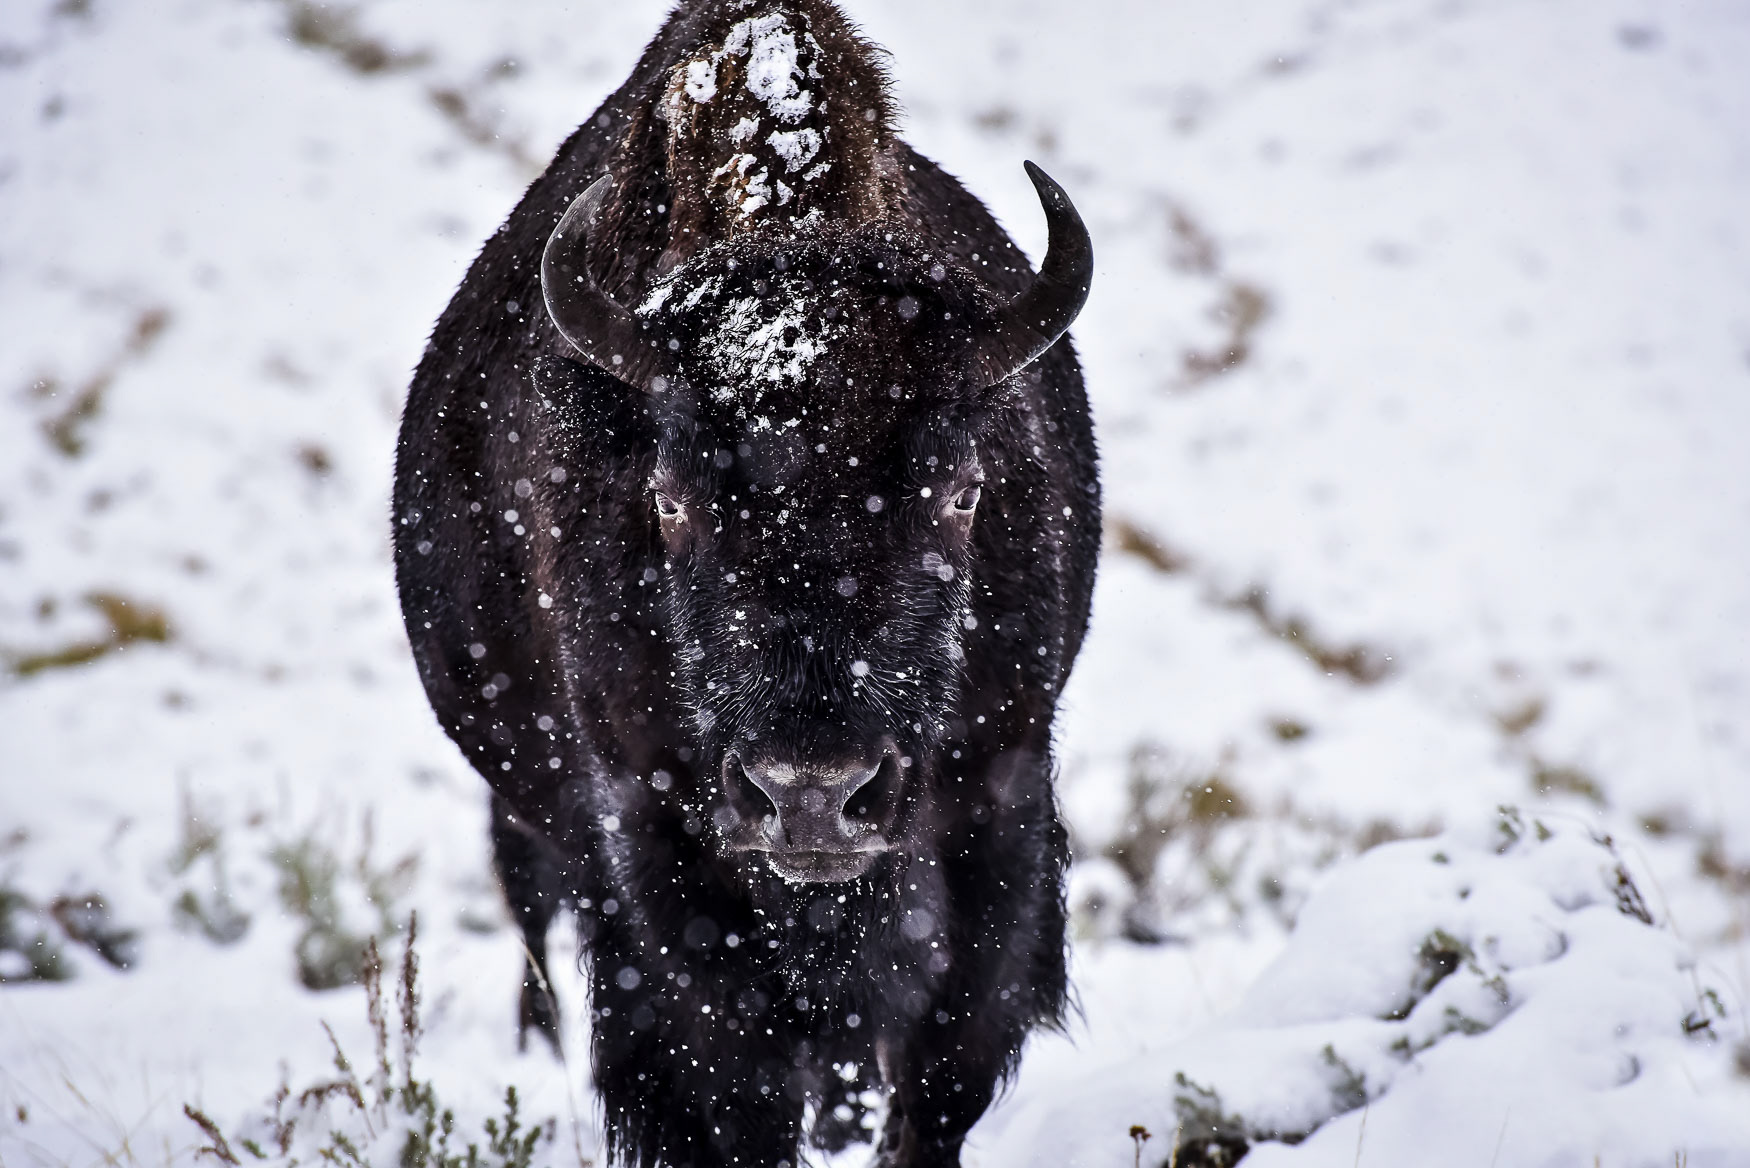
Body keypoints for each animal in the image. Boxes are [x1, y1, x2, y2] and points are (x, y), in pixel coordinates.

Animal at [393, 1, 1098, 1165]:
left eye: (961, 492)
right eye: (670, 501)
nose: (812, 797)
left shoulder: (998, 803)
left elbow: (941, 1066)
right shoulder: (653, 845)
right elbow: (724, 1081)